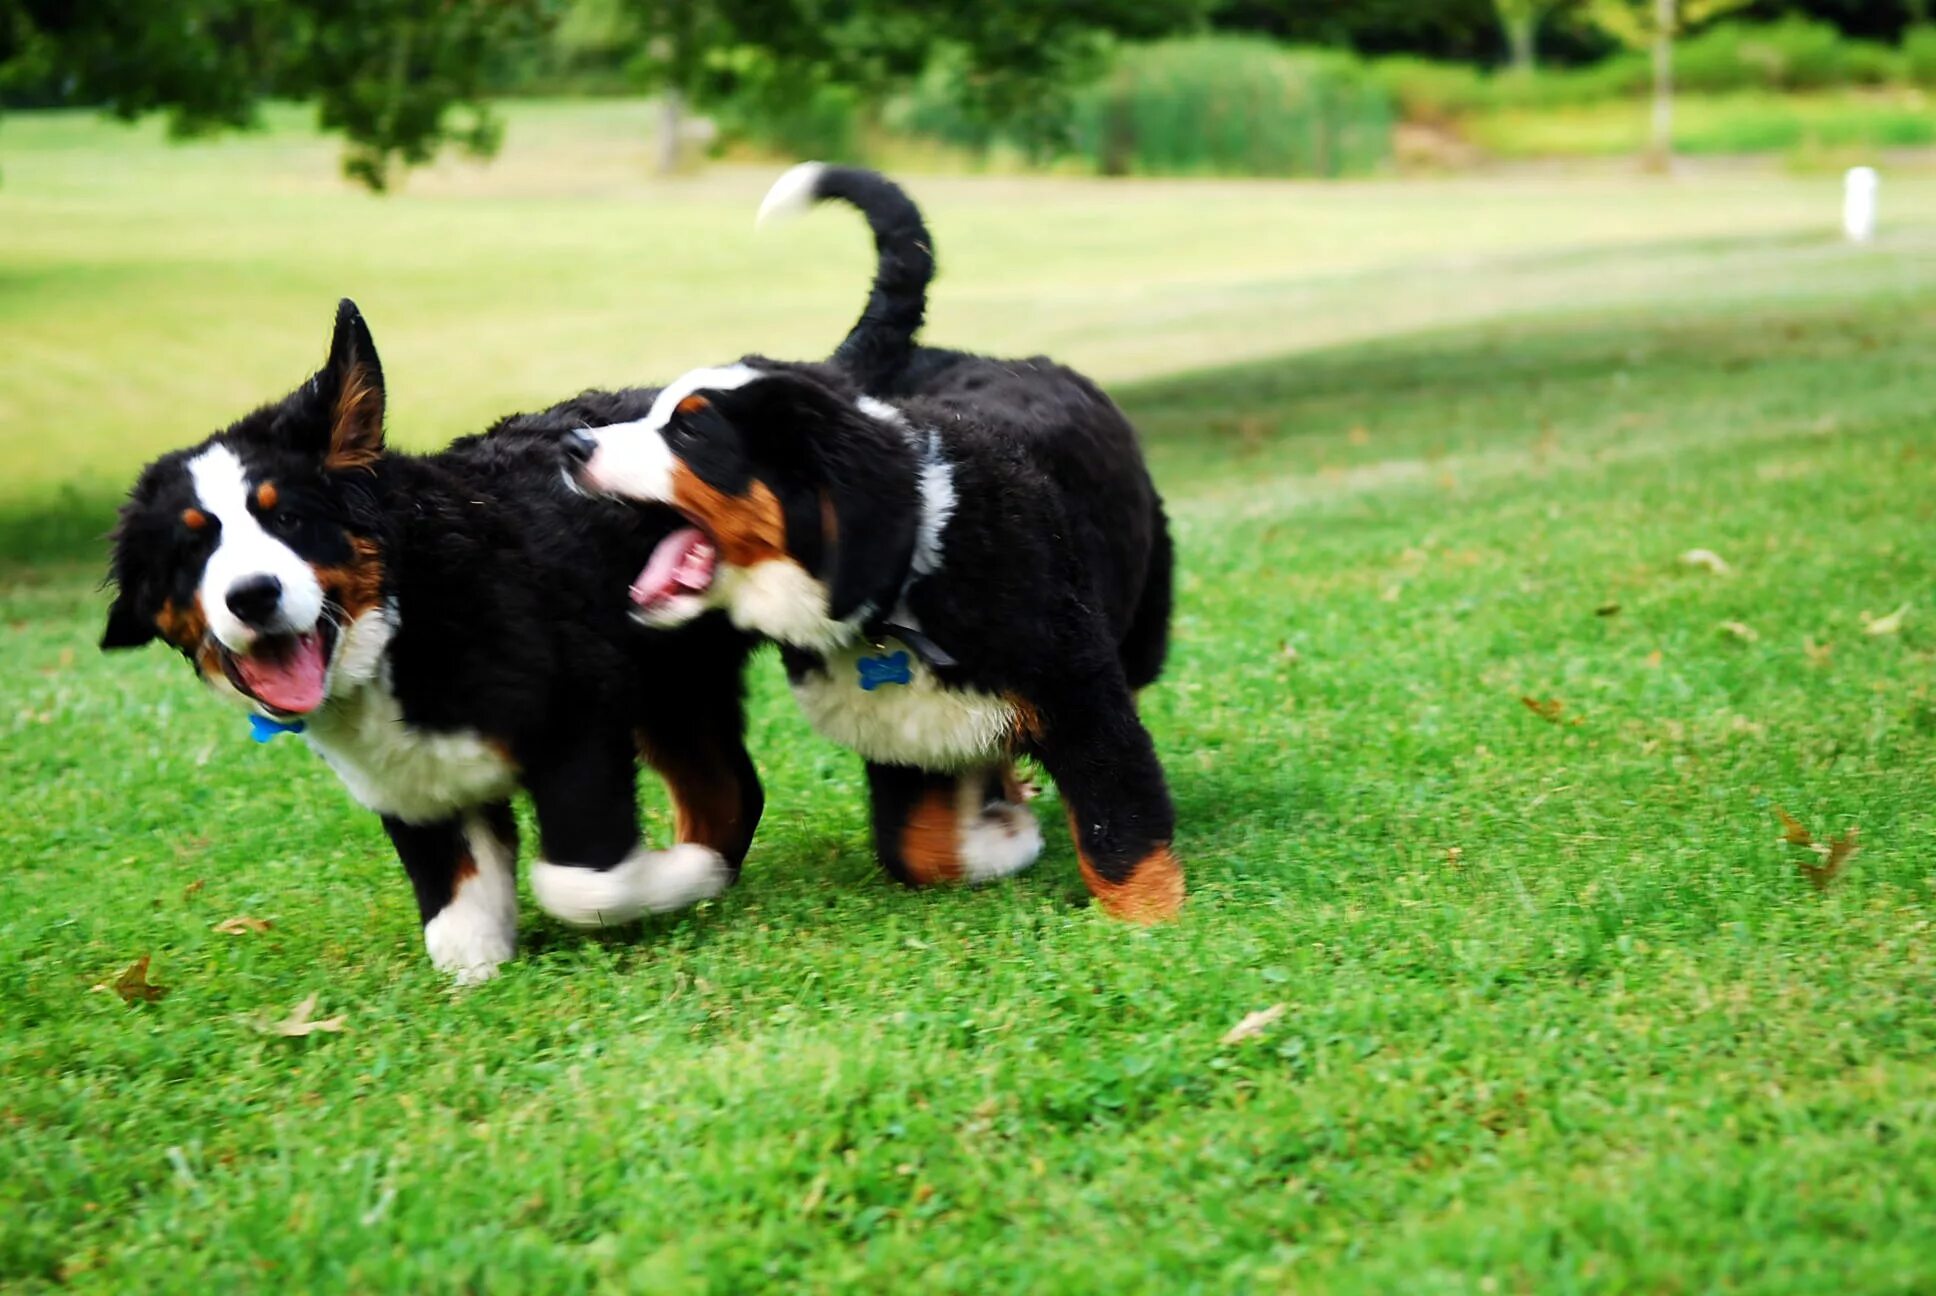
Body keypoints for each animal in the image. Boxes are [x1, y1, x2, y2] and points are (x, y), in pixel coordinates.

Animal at [100, 304, 762, 980]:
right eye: (190, 549)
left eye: (287, 518)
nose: (253, 594)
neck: (403, 621)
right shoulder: (417, 786)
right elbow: (456, 918)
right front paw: (482, 971)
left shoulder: (582, 715)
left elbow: (582, 884)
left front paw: (676, 876)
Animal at [565, 166, 1184, 918]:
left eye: (689, 431)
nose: (574, 445)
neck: (911, 573)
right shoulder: (903, 738)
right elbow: (918, 850)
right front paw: (1002, 838)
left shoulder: (1084, 702)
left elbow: (1122, 834)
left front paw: (1155, 924)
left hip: (1139, 627)